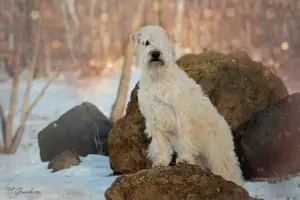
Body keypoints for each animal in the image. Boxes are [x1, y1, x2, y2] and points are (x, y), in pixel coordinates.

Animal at [131, 25, 244, 186]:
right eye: (146, 42)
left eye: (163, 41)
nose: (156, 53)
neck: (158, 78)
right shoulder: (154, 119)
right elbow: (160, 144)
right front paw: (161, 161)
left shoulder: (181, 113)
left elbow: (185, 138)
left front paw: (184, 159)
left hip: (219, 153)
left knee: (228, 171)